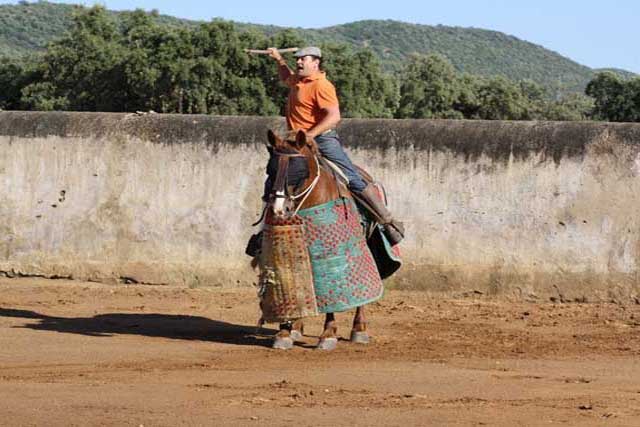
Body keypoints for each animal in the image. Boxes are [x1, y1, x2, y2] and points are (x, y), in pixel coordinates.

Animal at [258, 130, 370, 352]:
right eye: (270, 170)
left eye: (297, 170)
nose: (279, 209)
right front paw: (285, 331)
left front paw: (328, 335)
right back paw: (296, 328)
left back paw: (359, 329)